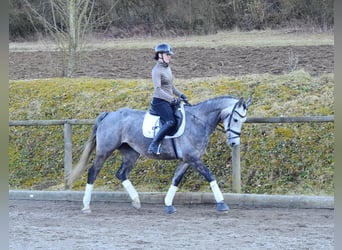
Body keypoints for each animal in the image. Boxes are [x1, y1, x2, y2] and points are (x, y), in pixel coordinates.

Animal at [67, 94, 251, 214]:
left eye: (243, 120)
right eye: (235, 119)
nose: (234, 143)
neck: (199, 121)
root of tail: (109, 114)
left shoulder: (186, 160)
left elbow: (176, 180)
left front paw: (168, 205)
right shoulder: (193, 158)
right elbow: (210, 176)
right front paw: (222, 204)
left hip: (131, 153)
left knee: (121, 174)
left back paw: (136, 201)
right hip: (104, 151)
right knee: (93, 172)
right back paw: (86, 206)